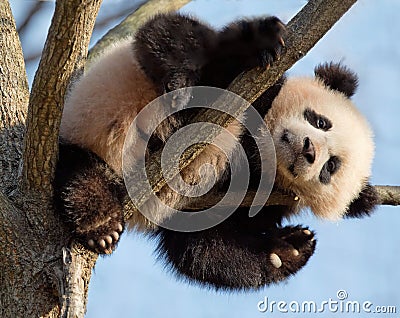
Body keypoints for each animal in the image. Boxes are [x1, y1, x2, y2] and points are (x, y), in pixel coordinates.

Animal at [55, 12, 378, 290]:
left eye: (330, 167)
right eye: (321, 121)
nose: (309, 150)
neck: (258, 148)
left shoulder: (243, 197)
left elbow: (202, 250)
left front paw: (291, 248)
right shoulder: (248, 88)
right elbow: (175, 35)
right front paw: (263, 40)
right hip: (85, 128)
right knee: (78, 172)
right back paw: (101, 223)